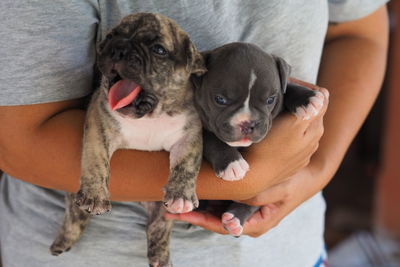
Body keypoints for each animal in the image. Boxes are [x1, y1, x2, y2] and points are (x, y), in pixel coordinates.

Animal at [50, 13, 206, 267]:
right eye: (111, 36)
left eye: (159, 49)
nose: (118, 48)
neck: (150, 116)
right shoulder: (99, 125)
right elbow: (96, 162)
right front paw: (95, 195)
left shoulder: (188, 135)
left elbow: (187, 166)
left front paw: (181, 194)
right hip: (73, 200)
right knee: (75, 215)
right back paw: (63, 241)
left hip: (162, 213)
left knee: (158, 228)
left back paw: (160, 255)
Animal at [192, 43, 326, 238]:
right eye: (220, 100)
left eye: (270, 100)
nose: (248, 123)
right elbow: (212, 140)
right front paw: (232, 163)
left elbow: (286, 89)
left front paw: (308, 98)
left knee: (251, 204)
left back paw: (235, 218)